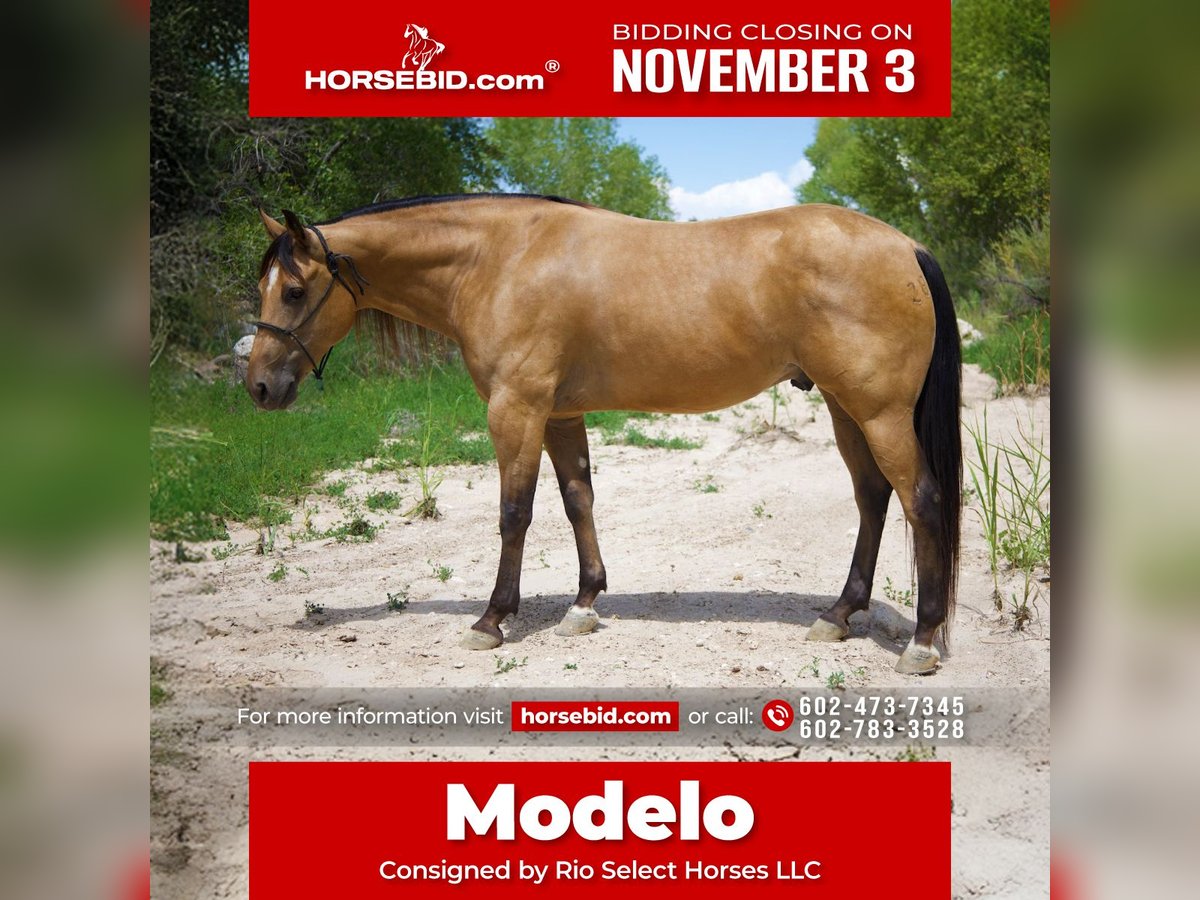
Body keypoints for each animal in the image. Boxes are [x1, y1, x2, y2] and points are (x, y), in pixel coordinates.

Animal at [247, 194, 961, 674]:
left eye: (293, 290)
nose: (257, 387)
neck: (499, 260)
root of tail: (906, 246)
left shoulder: (516, 409)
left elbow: (515, 512)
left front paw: (492, 619)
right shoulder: (560, 414)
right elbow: (577, 500)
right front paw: (585, 603)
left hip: (879, 412)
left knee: (921, 500)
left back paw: (922, 642)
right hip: (845, 408)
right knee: (873, 498)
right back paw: (839, 616)